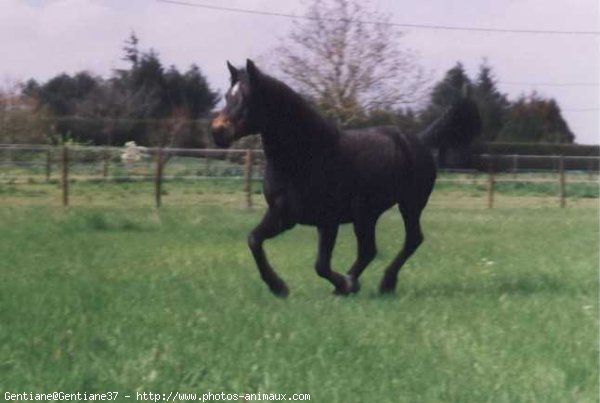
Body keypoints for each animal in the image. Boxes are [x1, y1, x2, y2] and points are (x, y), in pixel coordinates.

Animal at [212, 60, 482, 296]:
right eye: (227, 96)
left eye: (246, 97)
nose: (218, 132)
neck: (306, 155)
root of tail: (419, 141)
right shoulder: (288, 216)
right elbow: (254, 240)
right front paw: (281, 287)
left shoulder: (320, 220)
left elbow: (320, 265)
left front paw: (338, 284)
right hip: (368, 215)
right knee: (369, 250)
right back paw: (355, 283)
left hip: (409, 205)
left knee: (411, 240)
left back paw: (383, 283)